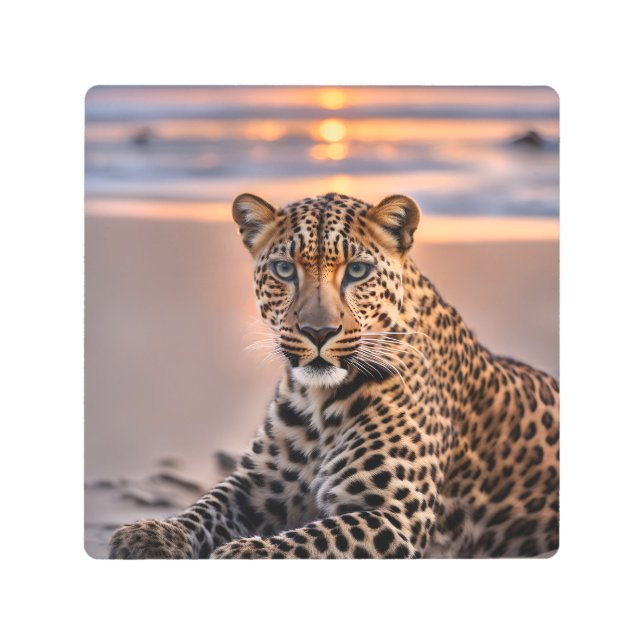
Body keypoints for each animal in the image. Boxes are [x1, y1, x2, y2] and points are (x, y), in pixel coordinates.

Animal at [109, 192, 559, 559]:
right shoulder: (254, 488)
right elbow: (205, 506)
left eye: (357, 271)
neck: (318, 402)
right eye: (284, 269)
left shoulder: (393, 515)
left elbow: (305, 542)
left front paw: (241, 553)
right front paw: (150, 534)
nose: (319, 332)